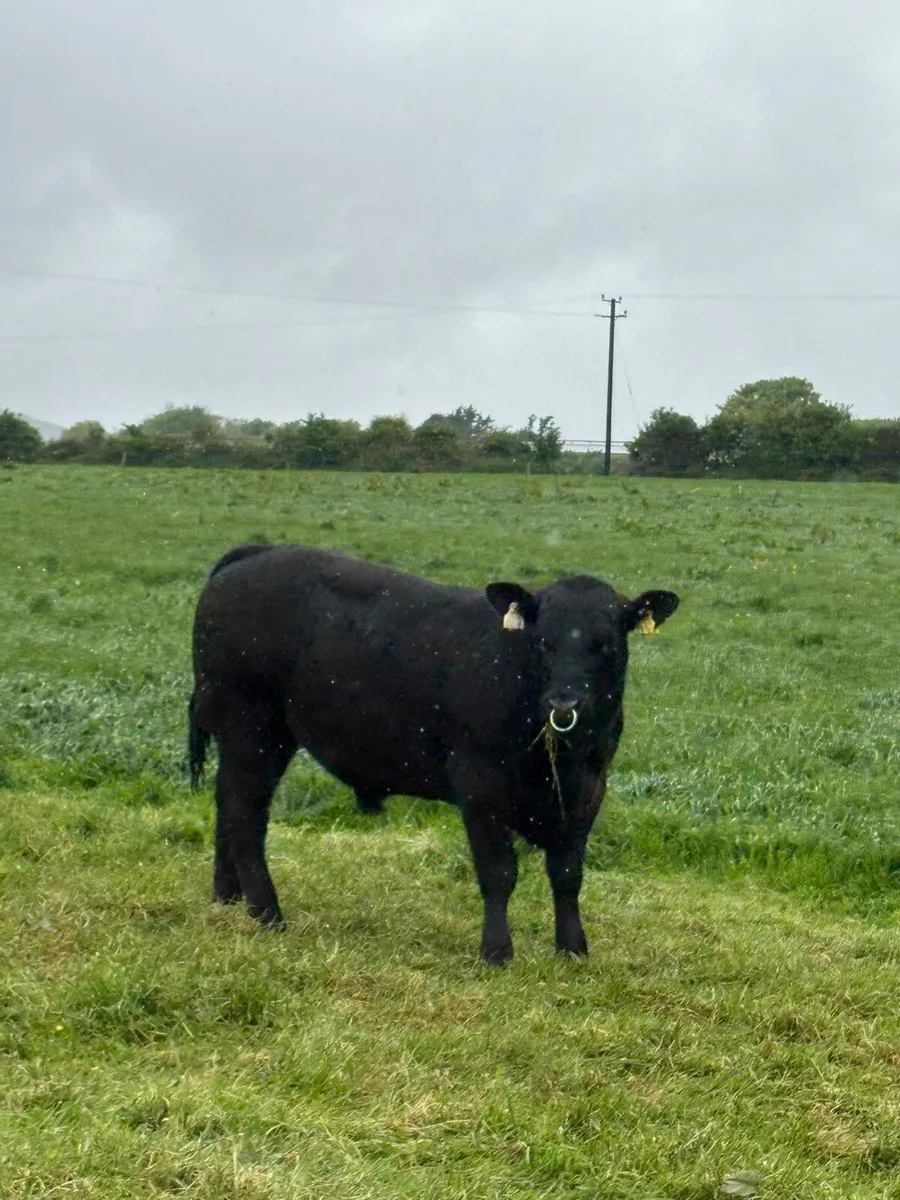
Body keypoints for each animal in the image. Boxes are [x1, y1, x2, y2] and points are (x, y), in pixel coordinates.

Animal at [189, 544, 679, 964]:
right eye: (544, 641)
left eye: (607, 643)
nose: (564, 704)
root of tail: (257, 553)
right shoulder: (479, 782)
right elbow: (499, 872)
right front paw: (496, 952)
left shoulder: (590, 787)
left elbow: (568, 872)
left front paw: (573, 948)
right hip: (250, 727)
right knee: (244, 815)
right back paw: (267, 913)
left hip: (257, 737)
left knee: (227, 805)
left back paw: (227, 896)